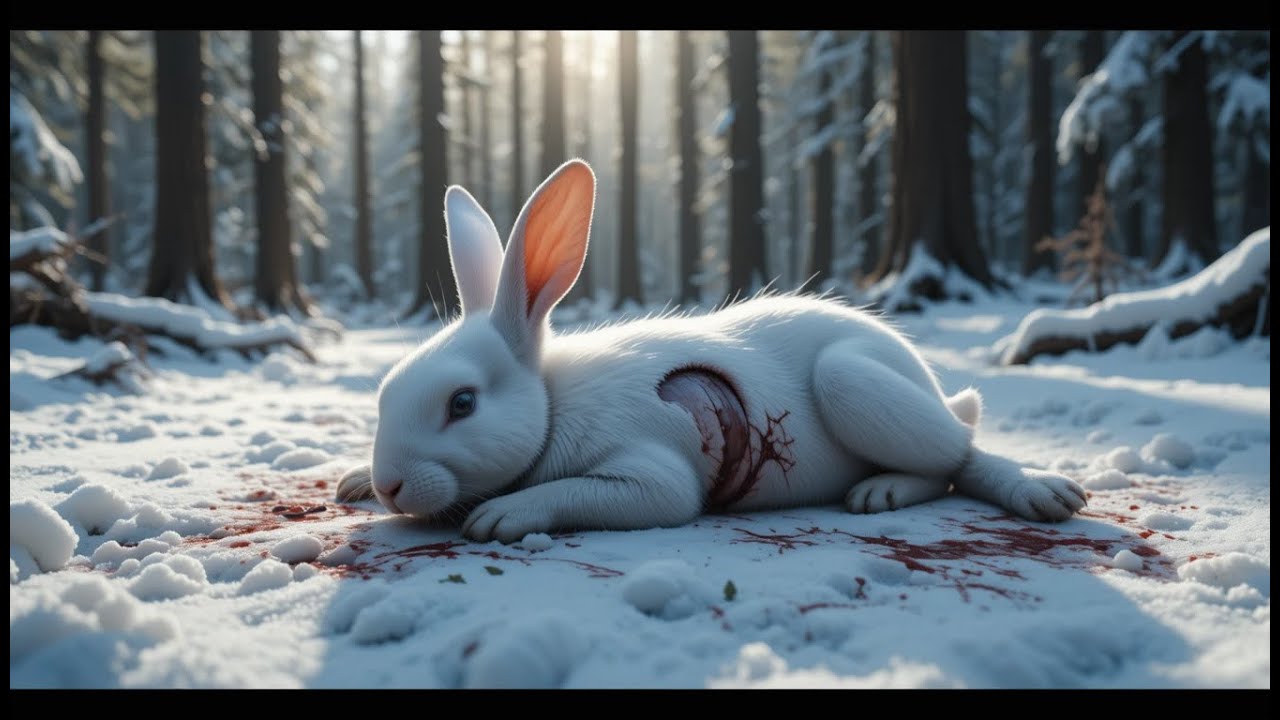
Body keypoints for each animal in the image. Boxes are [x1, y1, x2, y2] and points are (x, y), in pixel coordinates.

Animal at [336, 159, 1086, 543]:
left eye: (462, 403)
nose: (390, 485)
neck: (552, 402)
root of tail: (926, 378)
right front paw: (350, 482)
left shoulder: (651, 477)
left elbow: (598, 493)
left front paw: (502, 516)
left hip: (855, 383)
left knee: (957, 456)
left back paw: (981, 491)